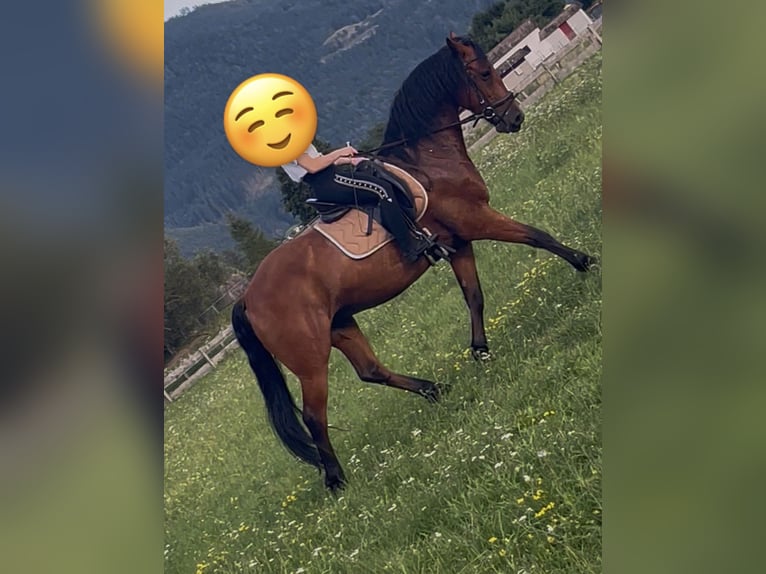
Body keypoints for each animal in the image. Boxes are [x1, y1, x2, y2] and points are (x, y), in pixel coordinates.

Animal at [232, 33, 595, 491]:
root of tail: (248, 297)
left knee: (370, 369)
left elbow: (473, 295)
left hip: (339, 323)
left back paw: (434, 389)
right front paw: (584, 260)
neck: (429, 160)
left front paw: (480, 352)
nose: (514, 118)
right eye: (483, 73)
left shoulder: (459, 242)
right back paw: (337, 480)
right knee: (316, 415)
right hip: (310, 356)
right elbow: (537, 235)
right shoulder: (476, 220)